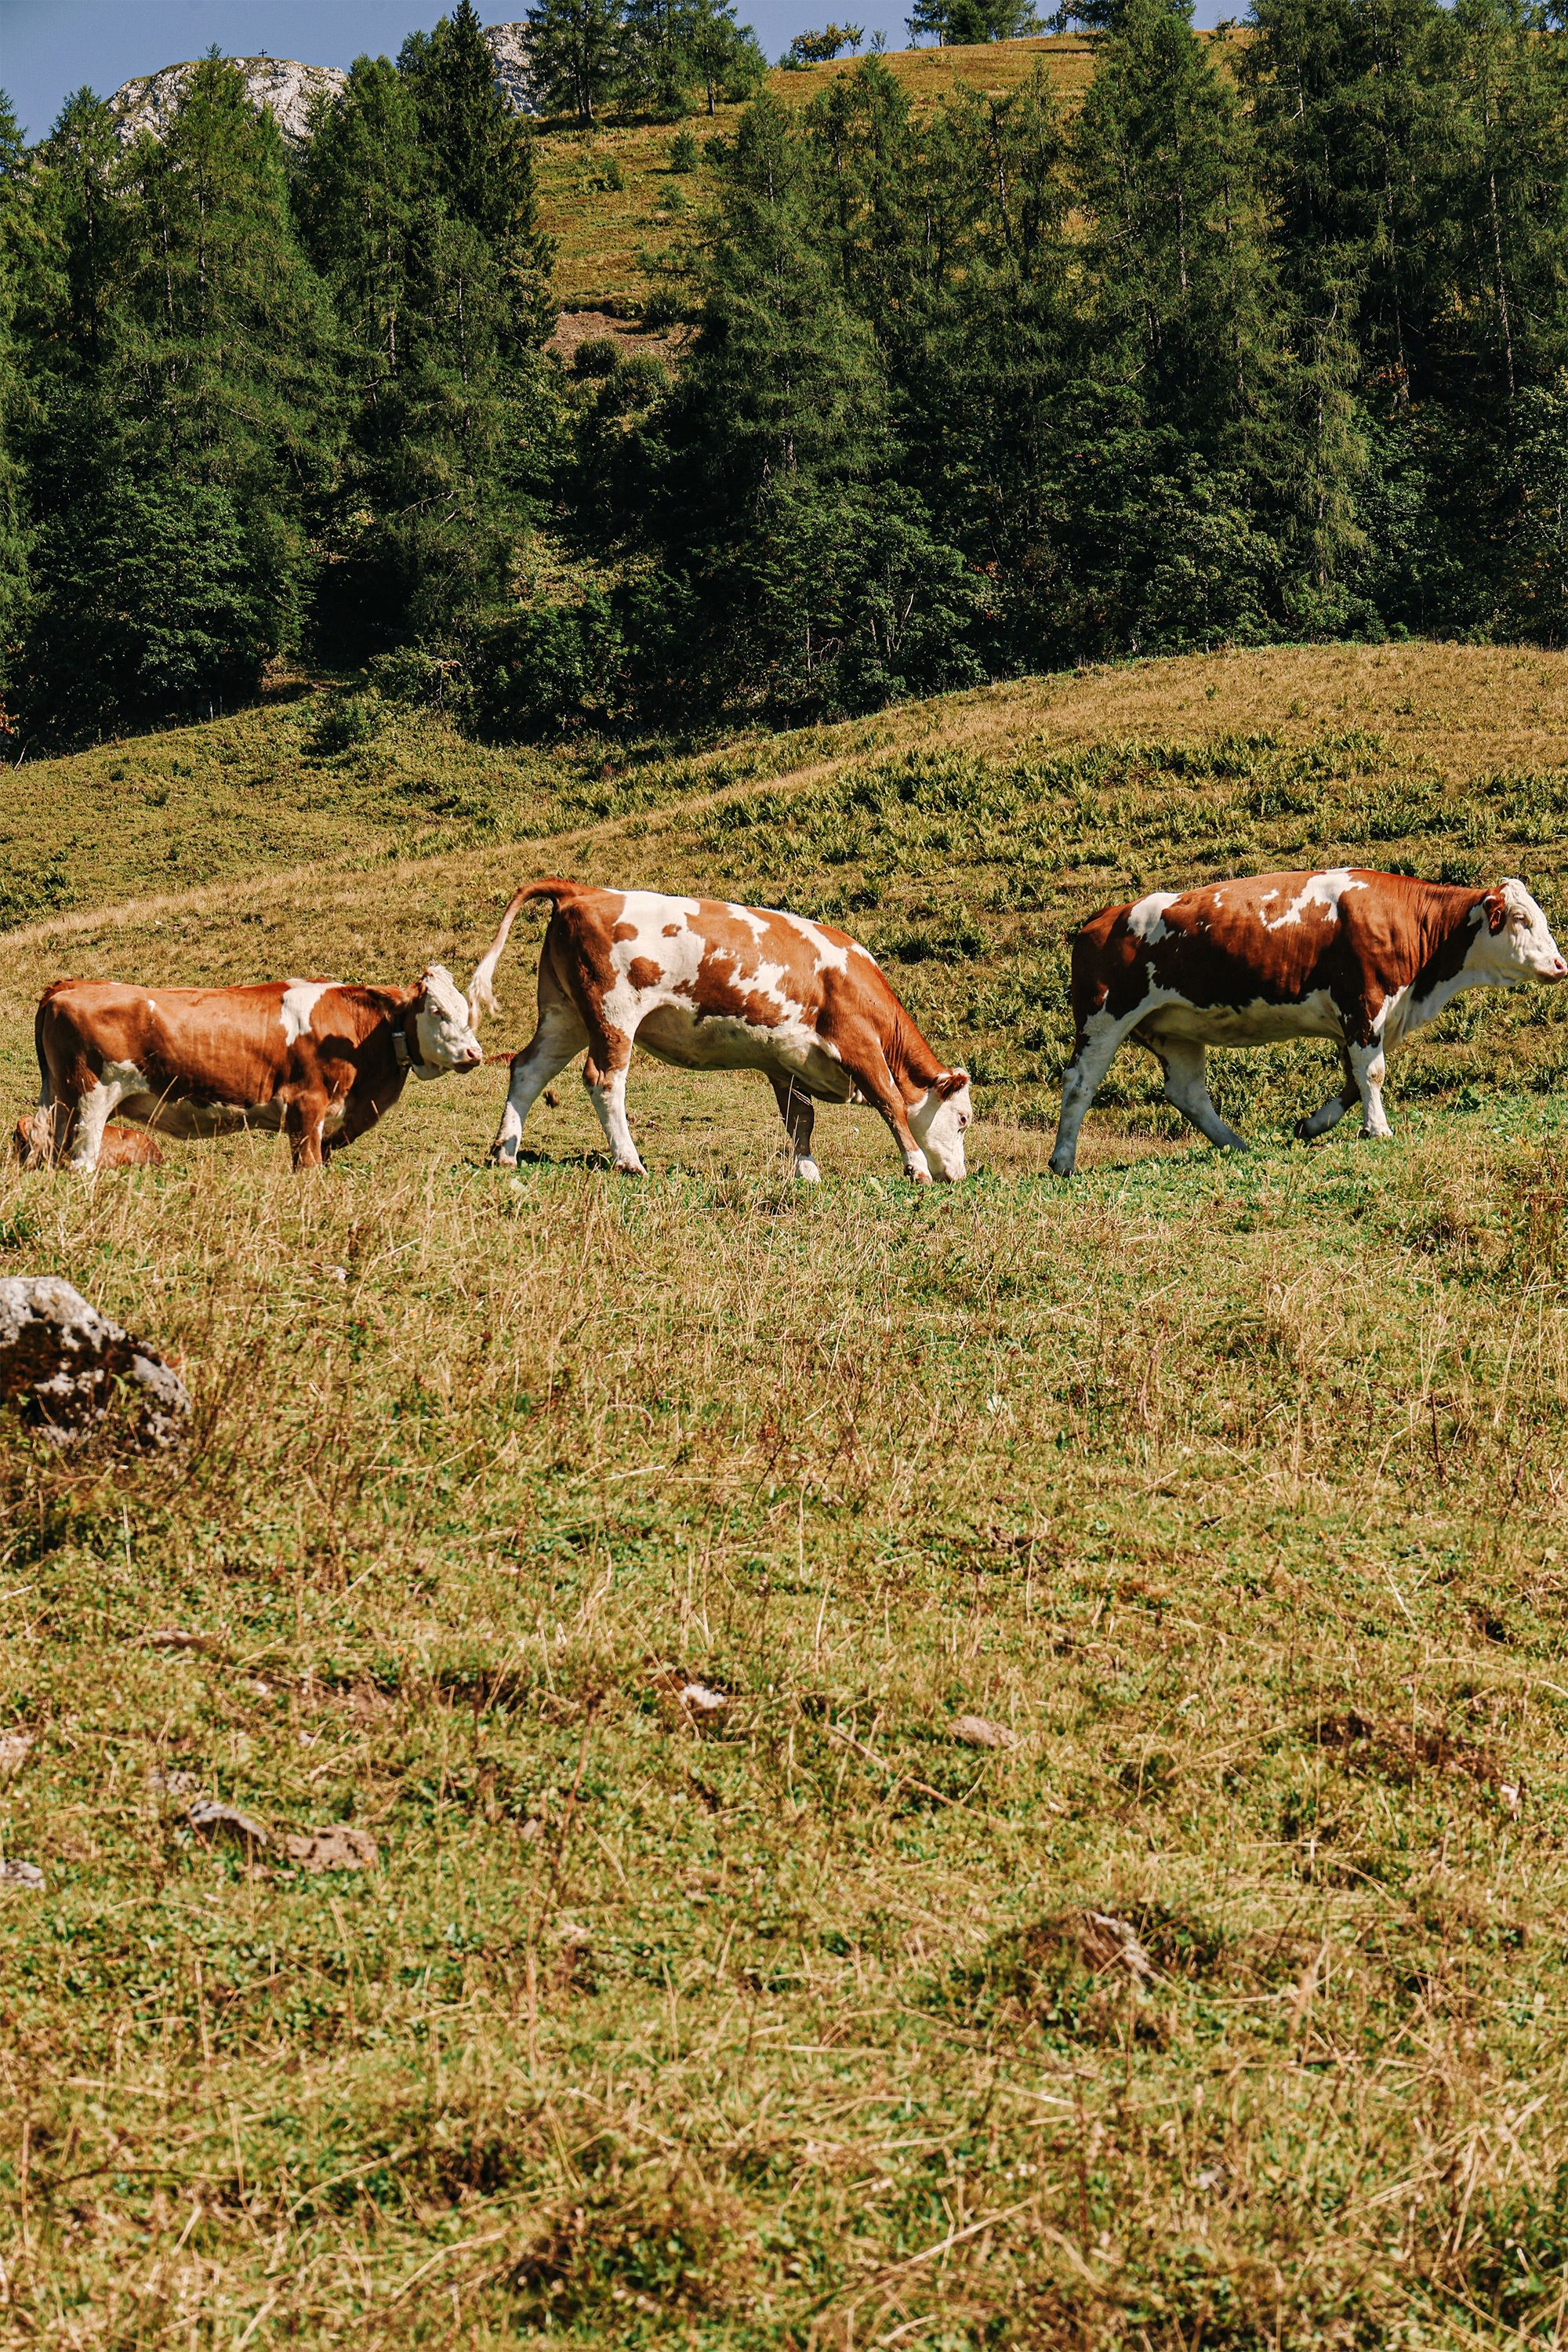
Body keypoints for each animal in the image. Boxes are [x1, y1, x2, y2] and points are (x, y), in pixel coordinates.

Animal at [31, 966, 483, 1173]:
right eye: (437, 1010)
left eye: (466, 1007)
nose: (475, 1053)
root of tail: (71, 985)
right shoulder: (306, 1106)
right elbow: (308, 1170)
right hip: (89, 1100)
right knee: (80, 1164)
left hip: (59, 1104)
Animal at [466, 879, 973, 1183]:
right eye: (964, 1119)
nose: (960, 1176)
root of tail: (584, 890)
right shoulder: (858, 1044)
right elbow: (891, 1103)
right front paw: (917, 1168)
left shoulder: (785, 1062)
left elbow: (800, 1120)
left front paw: (808, 1174)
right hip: (614, 1012)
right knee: (604, 1080)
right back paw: (630, 1161)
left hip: (564, 1014)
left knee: (528, 1069)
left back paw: (504, 1152)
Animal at [1049, 868, 1567, 1177]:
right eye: (1520, 918)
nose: (1561, 965)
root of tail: (1101, 919)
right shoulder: (1363, 1003)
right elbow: (1372, 1074)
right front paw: (1378, 1130)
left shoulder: (1359, 1019)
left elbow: (1354, 1079)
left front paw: (1313, 1125)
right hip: (1103, 1019)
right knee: (1079, 1084)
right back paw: (1063, 1161)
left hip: (1176, 1030)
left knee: (1188, 1093)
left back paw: (1236, 1145)